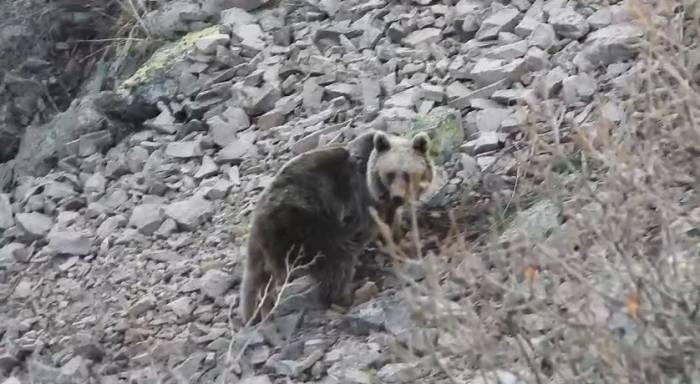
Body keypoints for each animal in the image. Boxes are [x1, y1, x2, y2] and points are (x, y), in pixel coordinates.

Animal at [241, 130, 438, 324]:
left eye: (407, 174)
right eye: (390, 173)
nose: (398, 197)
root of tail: (259, 220)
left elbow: (392, 223)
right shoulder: (363, 203)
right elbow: (379, 231)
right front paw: (403, 248)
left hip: (264, 247)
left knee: (256, 281)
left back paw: (254, 313)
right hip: (308, 226)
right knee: (336, 261)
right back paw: (344, 297)